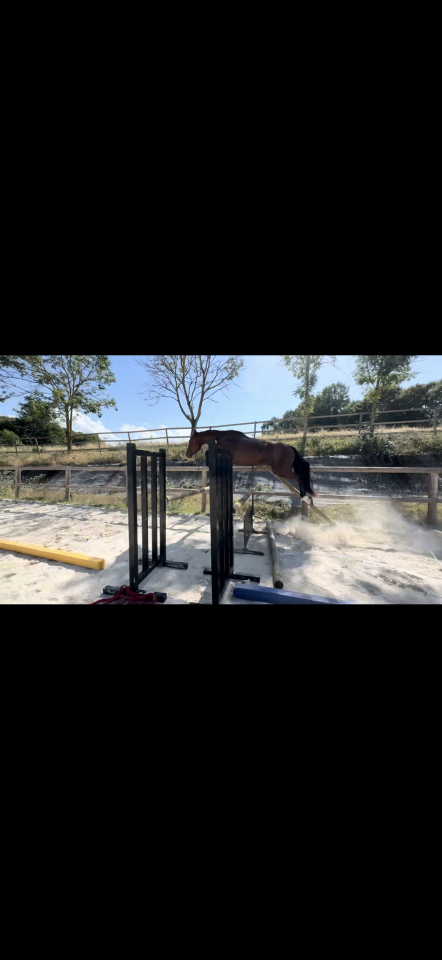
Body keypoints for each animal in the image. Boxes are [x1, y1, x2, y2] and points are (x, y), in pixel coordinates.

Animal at [185, 429, 314, 498]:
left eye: (190, 441)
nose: (187, 454)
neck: (221, 437)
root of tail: (289, 447)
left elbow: (207, 452)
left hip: (281, 470)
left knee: (299, 477)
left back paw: (304, 495)